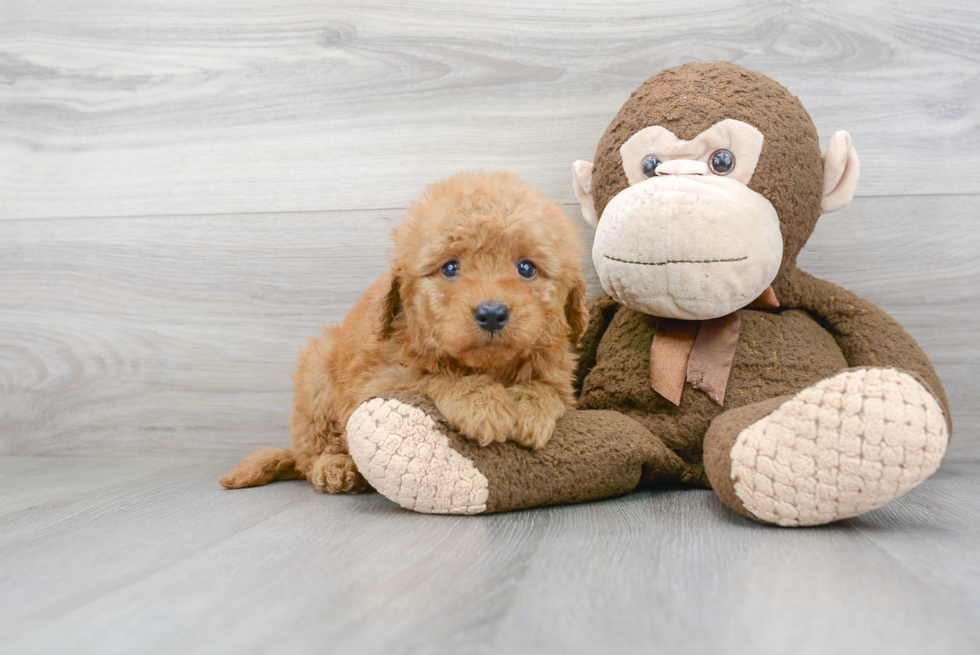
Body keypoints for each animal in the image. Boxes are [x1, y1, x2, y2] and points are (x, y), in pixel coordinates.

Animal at [220, 172, 588, 494]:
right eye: (450, 267)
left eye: (526, 268)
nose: (492, 313)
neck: (488, 366)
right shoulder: (374, 381)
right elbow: (429, 376)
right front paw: (481, 403)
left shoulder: (560, 375)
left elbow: (548, 389)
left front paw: (529, 409)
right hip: (317, 377)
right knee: (310, 453)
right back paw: (336, 467)